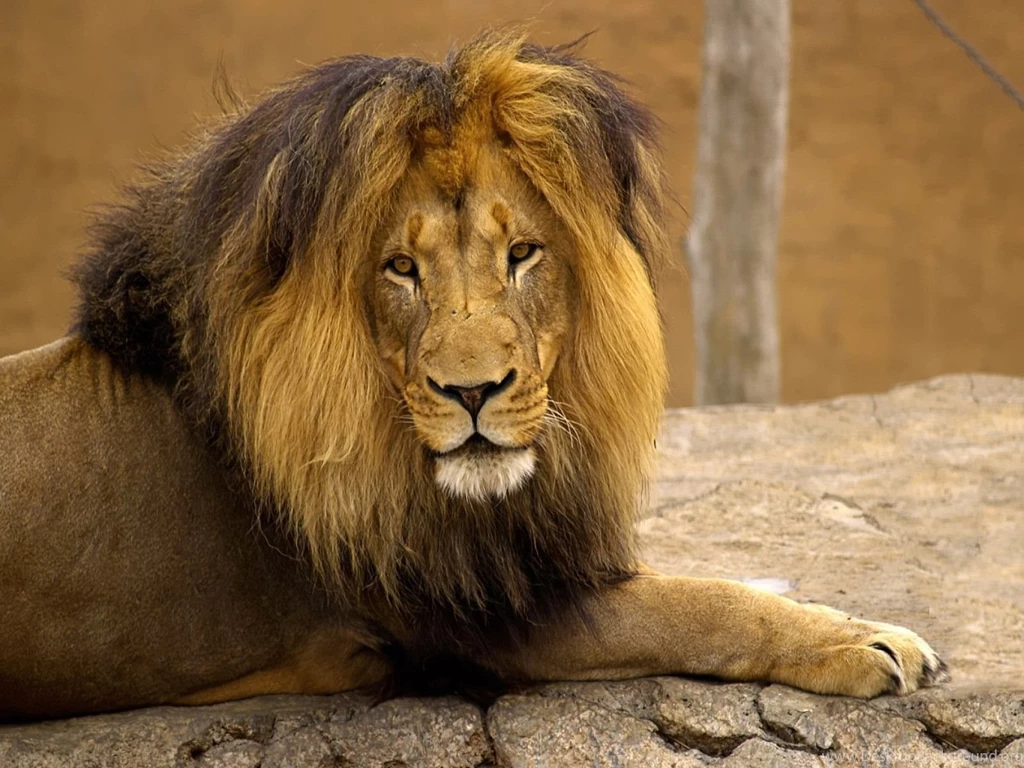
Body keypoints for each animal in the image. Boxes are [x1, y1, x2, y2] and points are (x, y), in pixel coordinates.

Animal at [0, 30, 946, 719]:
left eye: (522, 253)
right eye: (400, 269)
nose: (472, 393)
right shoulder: (479, 619)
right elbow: (698, 608)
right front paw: (862, 641)